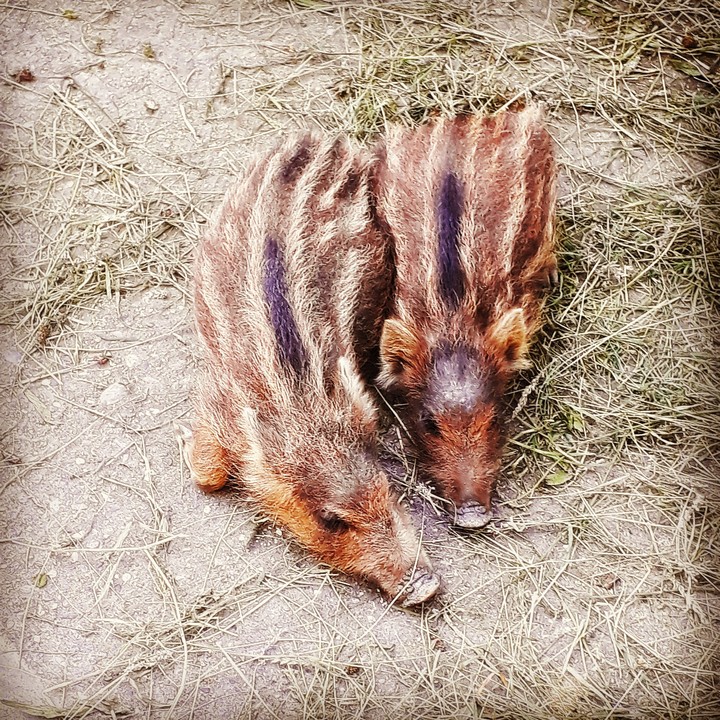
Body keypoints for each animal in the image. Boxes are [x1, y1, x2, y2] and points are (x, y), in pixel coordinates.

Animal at [185, 133, 440, 605]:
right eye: (331, 521)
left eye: (388, 489)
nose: (425, 586)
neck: (299, 400)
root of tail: (324, 140)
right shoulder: (215, 403)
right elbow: (207, 475)